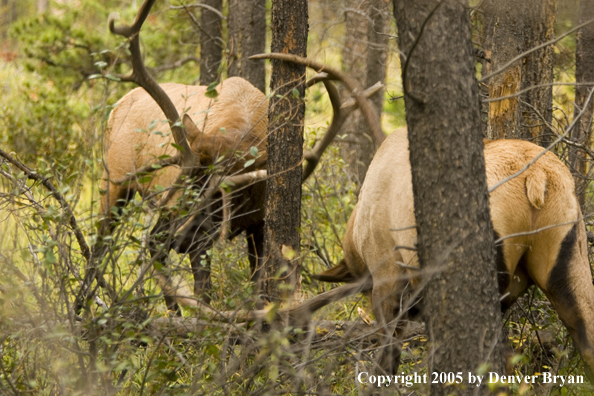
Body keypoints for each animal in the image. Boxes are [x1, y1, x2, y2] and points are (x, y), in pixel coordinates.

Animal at [74, 0, 382, 314]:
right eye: (185, 179)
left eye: (212, 194)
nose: (165, 235)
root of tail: (116, 106)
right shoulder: (198, 237)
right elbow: (205, 294)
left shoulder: (254, 224)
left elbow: (255, 288)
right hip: (115, 182)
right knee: (99, 249)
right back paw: (81, 308)